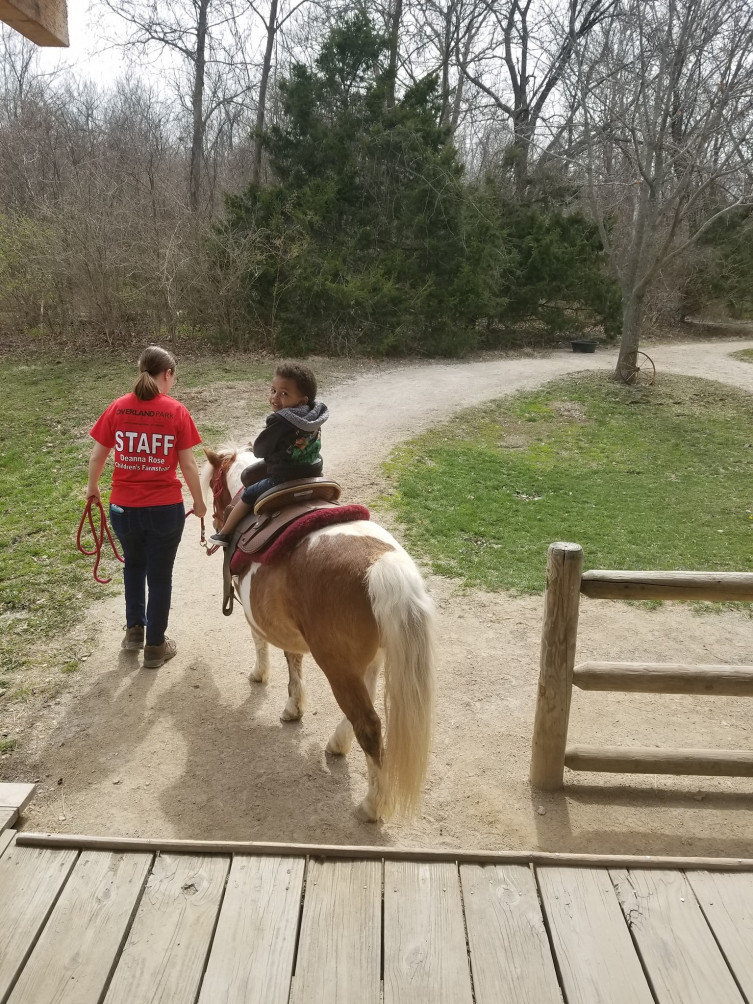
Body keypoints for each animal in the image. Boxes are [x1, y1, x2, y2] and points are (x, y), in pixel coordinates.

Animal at [201, 449, 435, 823]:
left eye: (215, 486)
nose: (215, 525)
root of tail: (381, 562)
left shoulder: (256, 614)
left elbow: (265, 645)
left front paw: (261, 676)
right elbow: (293, 659)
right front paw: (293, 706)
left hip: (337, 666)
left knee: (369, 725)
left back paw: (372, 806)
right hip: (368, 659)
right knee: (365, 704)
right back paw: (338, 743)